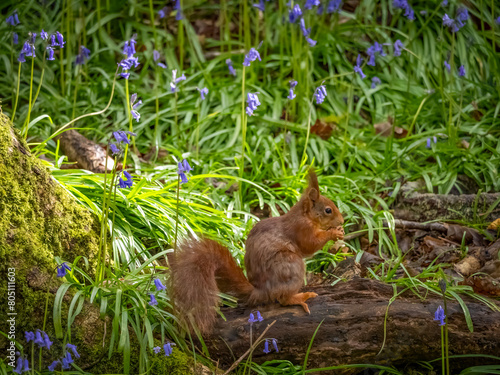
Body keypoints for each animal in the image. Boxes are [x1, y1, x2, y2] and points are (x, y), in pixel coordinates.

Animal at [171, 169, 344, 334]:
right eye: (328, 210)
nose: (342, 221)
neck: (304, 215)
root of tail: (260, 292)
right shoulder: (301, 228)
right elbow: (309, 245)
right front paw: (333, 233)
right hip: (291, 265)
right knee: (283, 299)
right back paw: (301, 297)